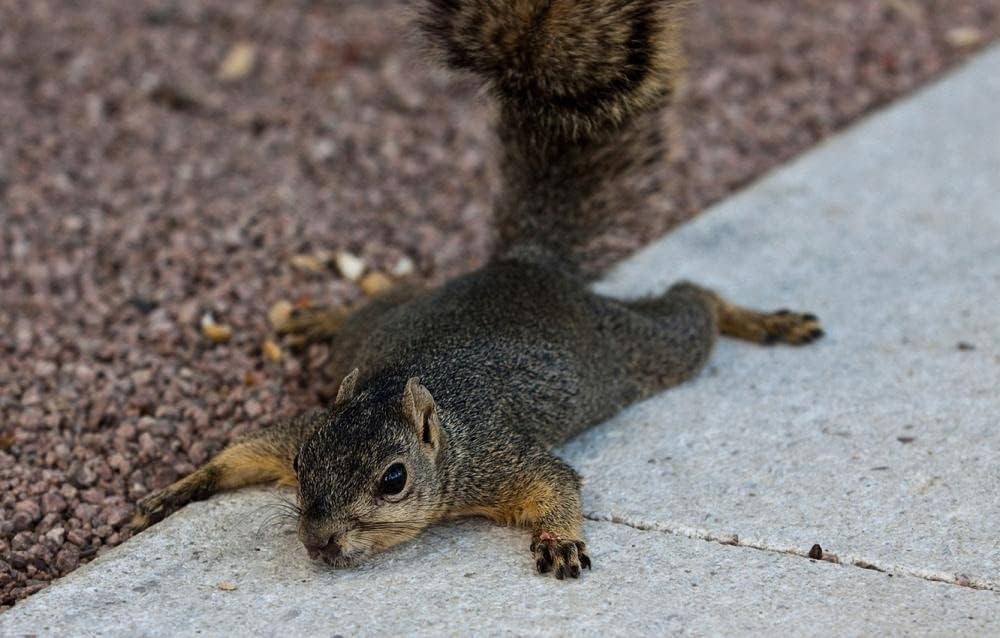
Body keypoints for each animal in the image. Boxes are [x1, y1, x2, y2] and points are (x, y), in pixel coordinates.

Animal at [131, 0, 823, 580]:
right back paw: (321, 318)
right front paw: (177, 489)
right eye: (302, 466)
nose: (319, 544)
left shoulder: (498, 459)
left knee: (692, 304)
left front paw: (561, 539)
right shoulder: (305, 426)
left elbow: (557, 481)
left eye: (394, 479)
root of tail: (523, 265)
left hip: (641, 350)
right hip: (380, 324)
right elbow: (247, 450)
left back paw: (764, 321)